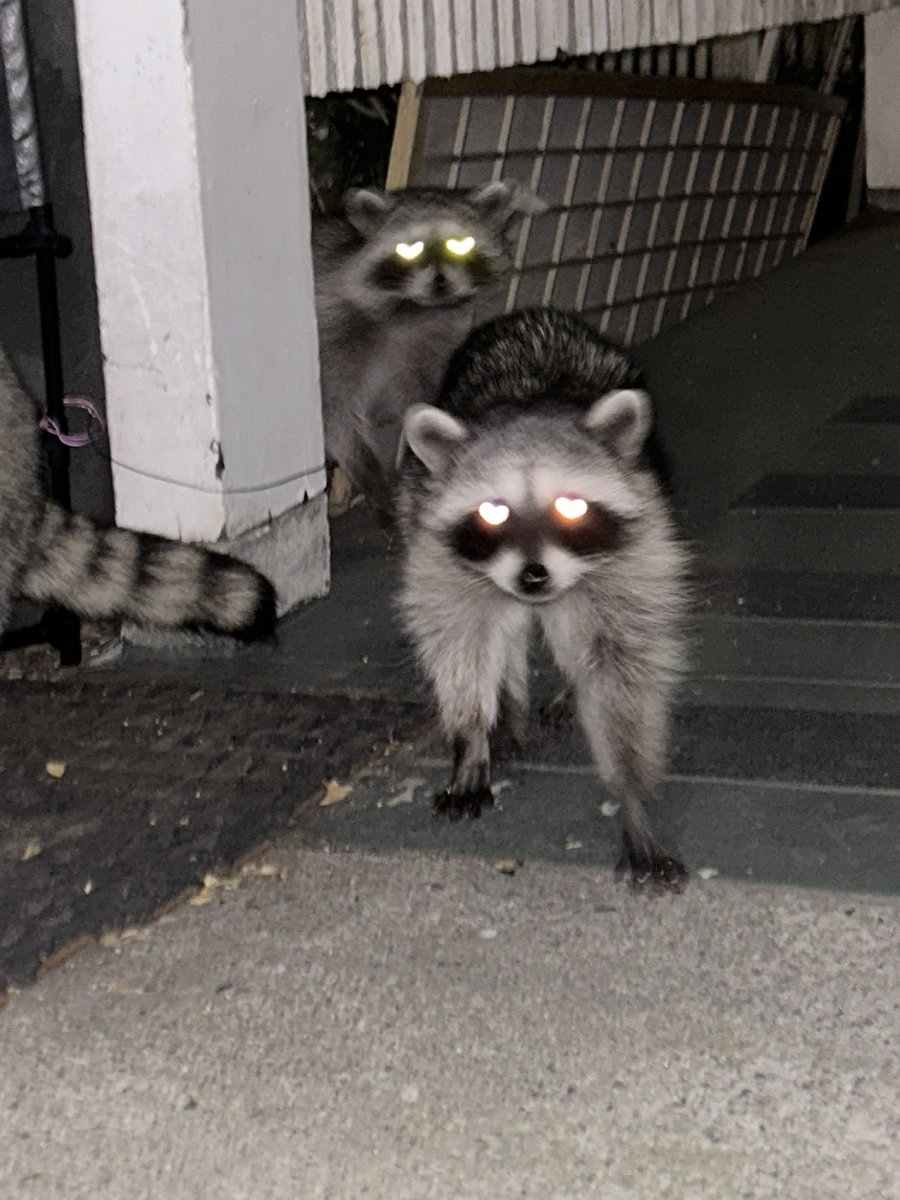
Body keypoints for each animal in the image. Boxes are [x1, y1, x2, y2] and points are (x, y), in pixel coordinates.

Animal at [313, 181, 543, 523]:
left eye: (460, 245)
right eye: (409, 249)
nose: (441, 284)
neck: (410, 310)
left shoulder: (436, 339)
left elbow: (419, 402)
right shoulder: (333, 336)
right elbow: (335, 415)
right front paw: (371, 474)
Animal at [396, 309, 690, 890]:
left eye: (572, 507)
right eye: (492, 512)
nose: (533, 576)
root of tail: (529, 314)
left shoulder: (634, 554)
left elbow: (621, 667)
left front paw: (630, 794)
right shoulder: (436, 547)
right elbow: (459, 642)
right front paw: (470, 736)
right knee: (503, 632)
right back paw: (507, 704)